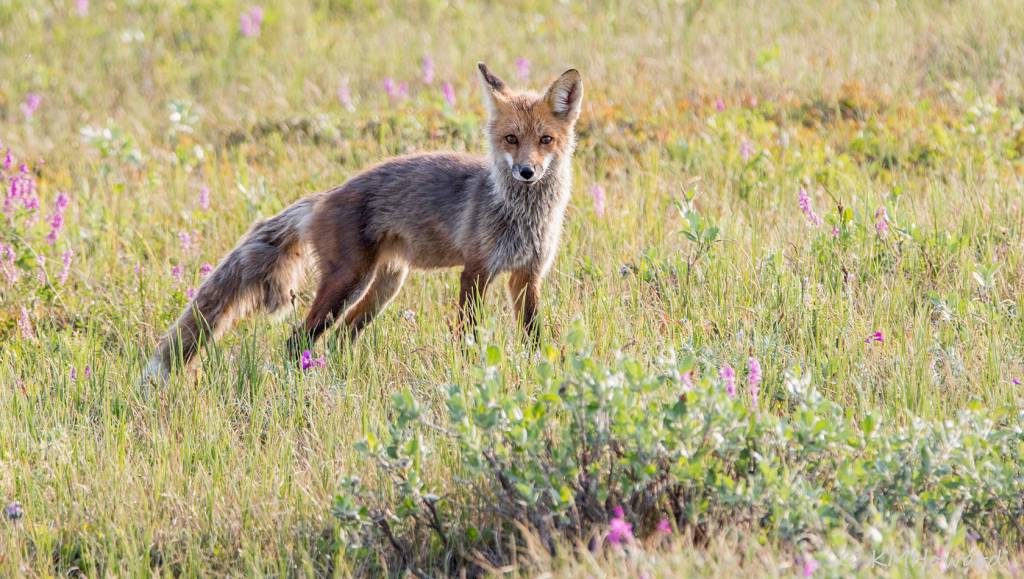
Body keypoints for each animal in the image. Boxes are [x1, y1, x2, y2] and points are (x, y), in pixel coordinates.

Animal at [144, 62, 584, 380]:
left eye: (545, 140)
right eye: (511, 139)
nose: (526, 172)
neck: (521, 216)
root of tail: (324, 195)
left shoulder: (526, 276)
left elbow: (533, 336)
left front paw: (541, 370)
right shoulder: (475, 271)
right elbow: (467, 335)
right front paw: (472, 372)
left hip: (383, 286)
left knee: (339, 339)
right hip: (347, 283)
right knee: (297, 341)